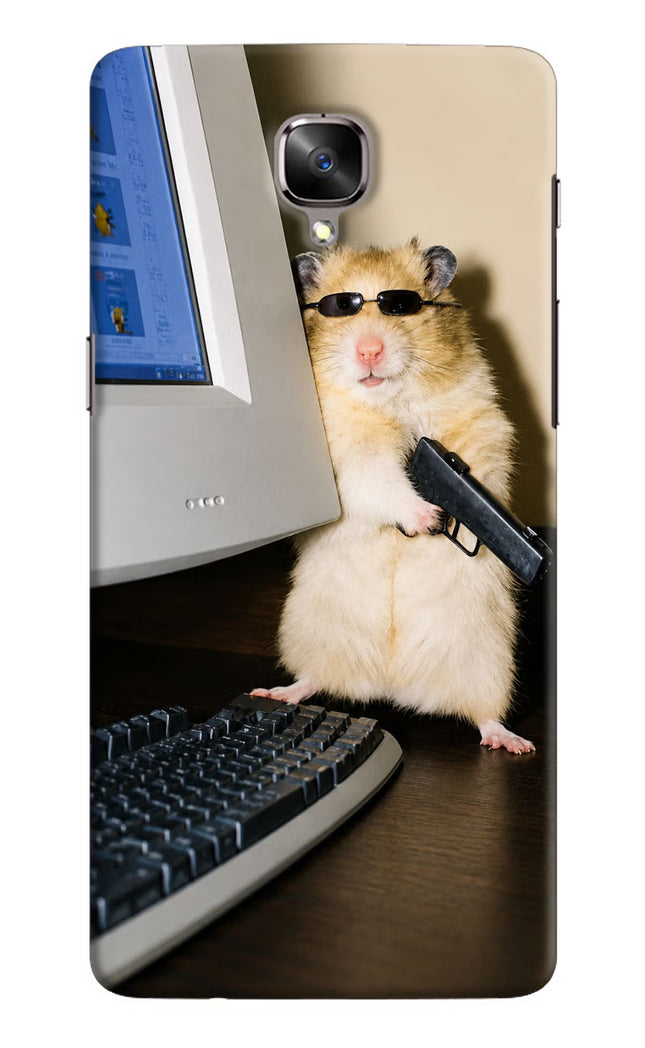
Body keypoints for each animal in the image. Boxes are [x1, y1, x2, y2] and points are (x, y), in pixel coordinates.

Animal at [252, 239, 534, 754]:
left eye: (401, 306)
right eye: (340, 307)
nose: (369, 350)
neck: (388, 400)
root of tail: (393, 686)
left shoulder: (480, 424)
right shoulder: (349, 458)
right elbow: (380, 481)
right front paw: (428, 518)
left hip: (488, 660)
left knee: (484, 714)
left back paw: (513, 742)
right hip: (310, 632)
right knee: (313, 679)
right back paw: (276, 692)